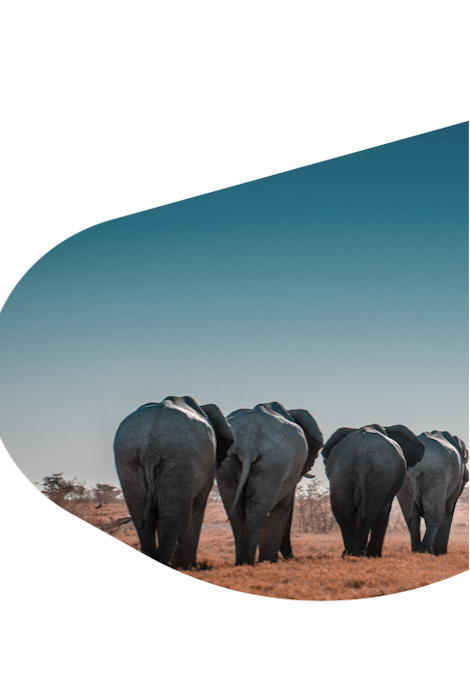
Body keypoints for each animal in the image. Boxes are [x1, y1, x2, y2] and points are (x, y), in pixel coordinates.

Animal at [114, 396, 233, 568]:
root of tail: (151, 447)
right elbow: (198, 507)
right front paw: (188, 566)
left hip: (127, 459)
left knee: (142, 518)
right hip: (180, 459)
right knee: (176, 517)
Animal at [217, 402, 323, 566]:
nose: (291, 557)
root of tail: (249, 444)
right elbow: (283, 506)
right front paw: (270, 560)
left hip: (229, 461)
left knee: (237, 511)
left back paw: (241, 562)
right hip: (276, 461)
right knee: (259, 509)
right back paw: (255, 561)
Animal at [322, 424, 425, 557]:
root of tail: (362, 463)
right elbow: (385, 511)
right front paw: (374, 555)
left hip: (341, 472)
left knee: (344, 515)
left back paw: (349, 554)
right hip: (380, 474)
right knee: (370, 514)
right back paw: (360, 554)